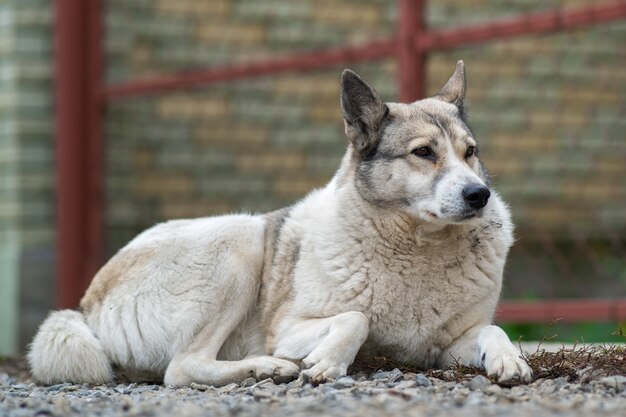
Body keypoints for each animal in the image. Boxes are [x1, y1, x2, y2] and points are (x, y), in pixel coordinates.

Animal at [29, 60, 532, 386]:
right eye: (424, 152)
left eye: (470, 152)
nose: (479, 195)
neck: (418, 245)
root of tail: (87, 305)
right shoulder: (288, 328)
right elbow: (355, 318)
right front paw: (326, 362)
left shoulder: (446, 346)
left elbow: (494, 330)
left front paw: (509, 361)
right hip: (239, 240)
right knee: (181, 369)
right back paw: (266, 367)